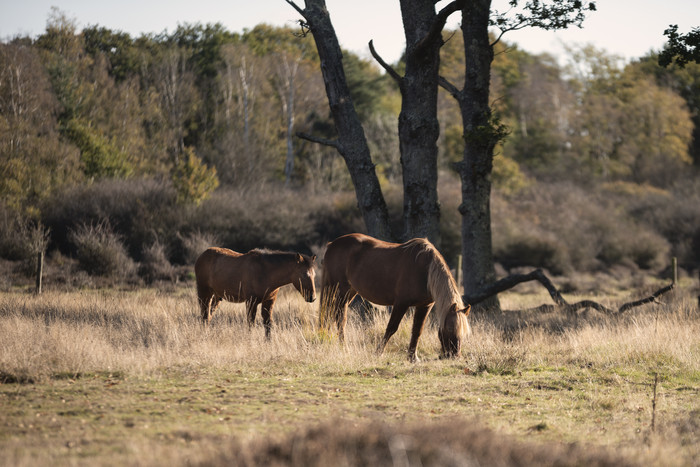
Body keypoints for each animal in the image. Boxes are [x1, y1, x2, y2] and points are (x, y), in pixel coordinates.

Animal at [322, 234, 470, 362]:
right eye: (450, 329)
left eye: (464, 332)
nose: (455, 356)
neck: (425, 271)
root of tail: (331, 244)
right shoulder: (401, 303)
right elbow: (391, 328)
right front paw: (378, 353)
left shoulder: (424, 306)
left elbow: (417, 331)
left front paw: (412, 358)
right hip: (339, 291)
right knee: (340, 319)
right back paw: (344, 349)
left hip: (349, 292)